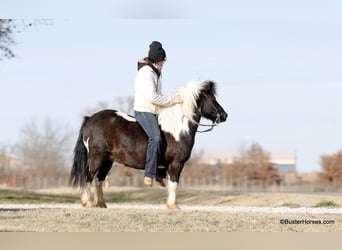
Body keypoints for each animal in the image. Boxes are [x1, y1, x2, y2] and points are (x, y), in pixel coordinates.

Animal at [69, 80, 227, 209]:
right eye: (212, 99)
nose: (224, 115)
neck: (178, 128)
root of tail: (90, 119)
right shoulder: (176, 164)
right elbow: (174, 184)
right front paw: (173, 206)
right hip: (96, 158)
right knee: (89, 177)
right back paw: (88, 202)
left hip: (108, 161)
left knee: (99, 180)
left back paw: (101, 204)